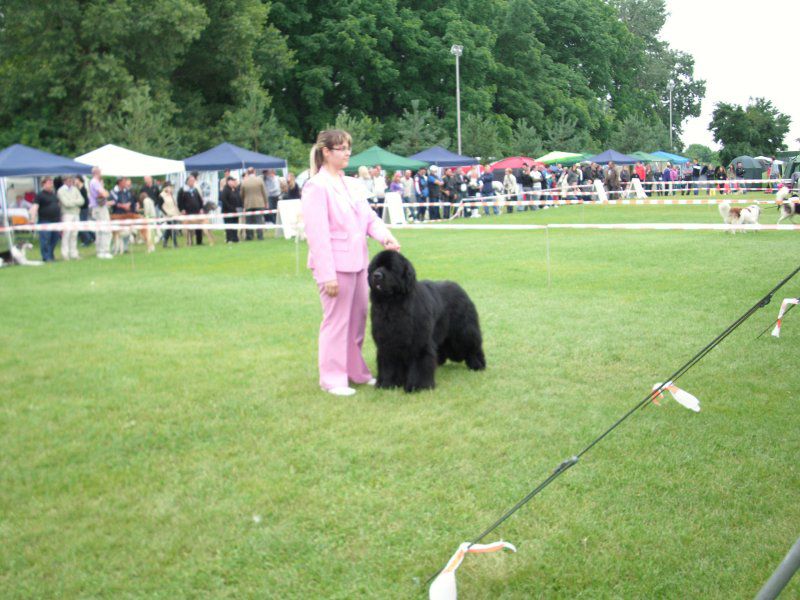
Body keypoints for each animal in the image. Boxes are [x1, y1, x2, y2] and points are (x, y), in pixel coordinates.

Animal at [366, 250, 484, 394]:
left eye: (391, 268)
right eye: (376, 267)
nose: (376, 275)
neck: (392, 304)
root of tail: (460, 288)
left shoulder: (418, 342)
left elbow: (419, 363)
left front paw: (418, 386)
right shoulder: (387, 343)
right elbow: (388, 364)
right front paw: (387, 384)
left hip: (463, 331)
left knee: (472, 345)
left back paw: (478, 364)